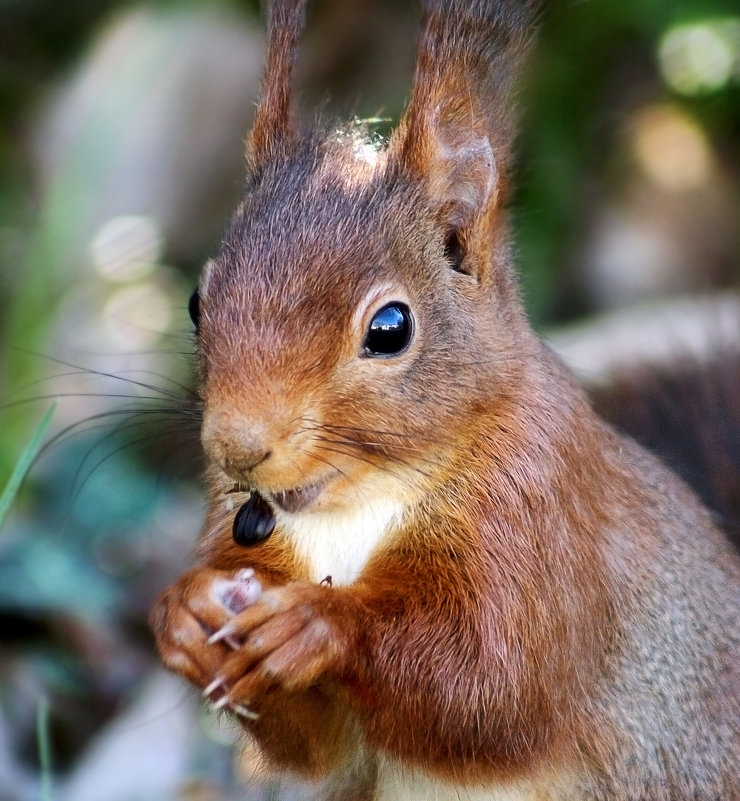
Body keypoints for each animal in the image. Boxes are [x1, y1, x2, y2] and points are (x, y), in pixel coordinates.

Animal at [147, 3, 736, 796]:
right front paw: (181, 615)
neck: (353, 507)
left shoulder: (541, 516)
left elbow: (494, 685)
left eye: (390, 328)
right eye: (195, 303)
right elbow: (320, 747)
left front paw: (321, 623)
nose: (236, 445)